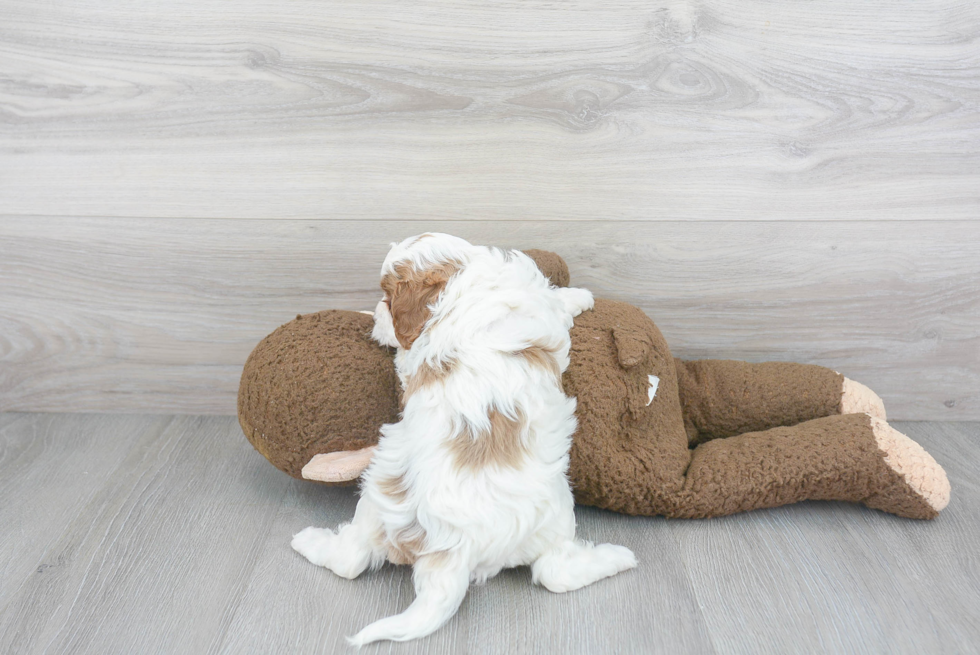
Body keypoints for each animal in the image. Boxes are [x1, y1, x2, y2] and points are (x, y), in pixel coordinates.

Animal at [290, 233, 636, 644]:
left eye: (387, 299)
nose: (375, 314)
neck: (463, 278)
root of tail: (450, 546)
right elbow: (558, 304)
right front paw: (580, 295)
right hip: (554, 514)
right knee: (555, 572)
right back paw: (618, 558)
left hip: (376, 502)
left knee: (351, 558)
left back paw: (307, 541)